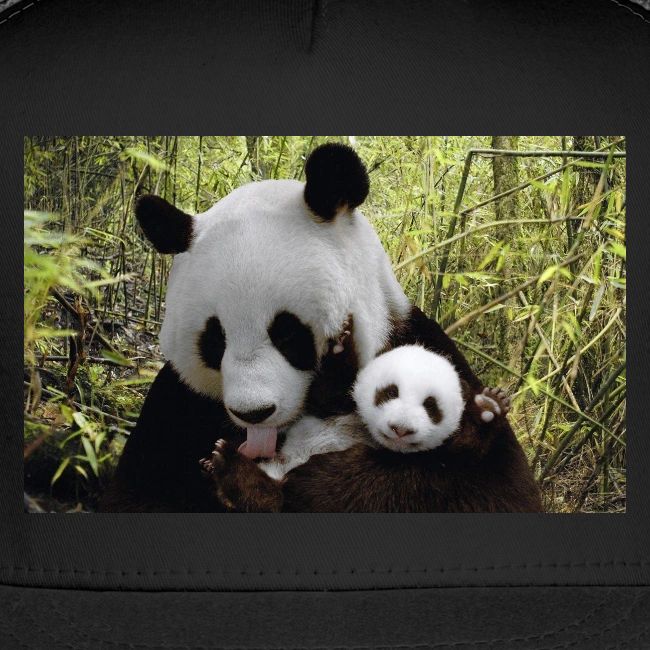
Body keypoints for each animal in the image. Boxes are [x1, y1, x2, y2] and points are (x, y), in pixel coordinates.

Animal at [99, 143, 538, 513]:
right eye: (215, 340)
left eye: (287, 333)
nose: (254, 413)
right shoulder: (178, 404)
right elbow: (139, 493)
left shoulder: (422, 348)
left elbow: (487, 487)